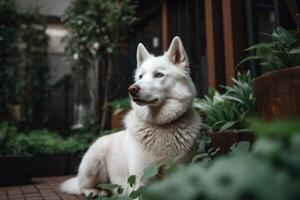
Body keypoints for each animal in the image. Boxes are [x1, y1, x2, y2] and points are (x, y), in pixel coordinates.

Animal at [60, 36, 202, 196]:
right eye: (140, 76)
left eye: (159, 75)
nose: (132, 89)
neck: (161, 125)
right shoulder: (141, 179)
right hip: (94, 162)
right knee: (83, 186)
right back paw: (95, 191)